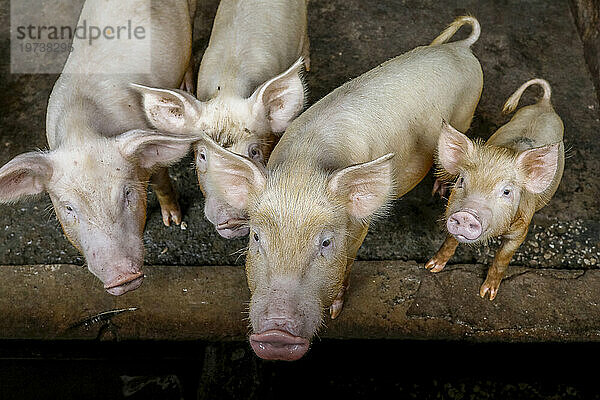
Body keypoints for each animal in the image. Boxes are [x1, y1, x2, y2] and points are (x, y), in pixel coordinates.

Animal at [0, 0, 199, 294]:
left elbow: (162, 181)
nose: (122, 277)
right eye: (69, 208)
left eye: (127, 193)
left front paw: (173, 221)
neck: (82, 133)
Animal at [197, 14, 482, 360]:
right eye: (256, 238)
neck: (303, 169)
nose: (277, 335)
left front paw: (334, 312)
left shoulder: (359, 226)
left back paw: (440, 190)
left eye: (326, 243)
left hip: (465, 115)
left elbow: (348, 262)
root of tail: (462, 48)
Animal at [424, 77, 564, 300]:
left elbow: (502, 259)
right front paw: (431, 267)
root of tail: (545, 104)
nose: (467, 214)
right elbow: (449, 241)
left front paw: (486, 295)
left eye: (506, 192)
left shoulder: (521, 231)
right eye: (461, 180)